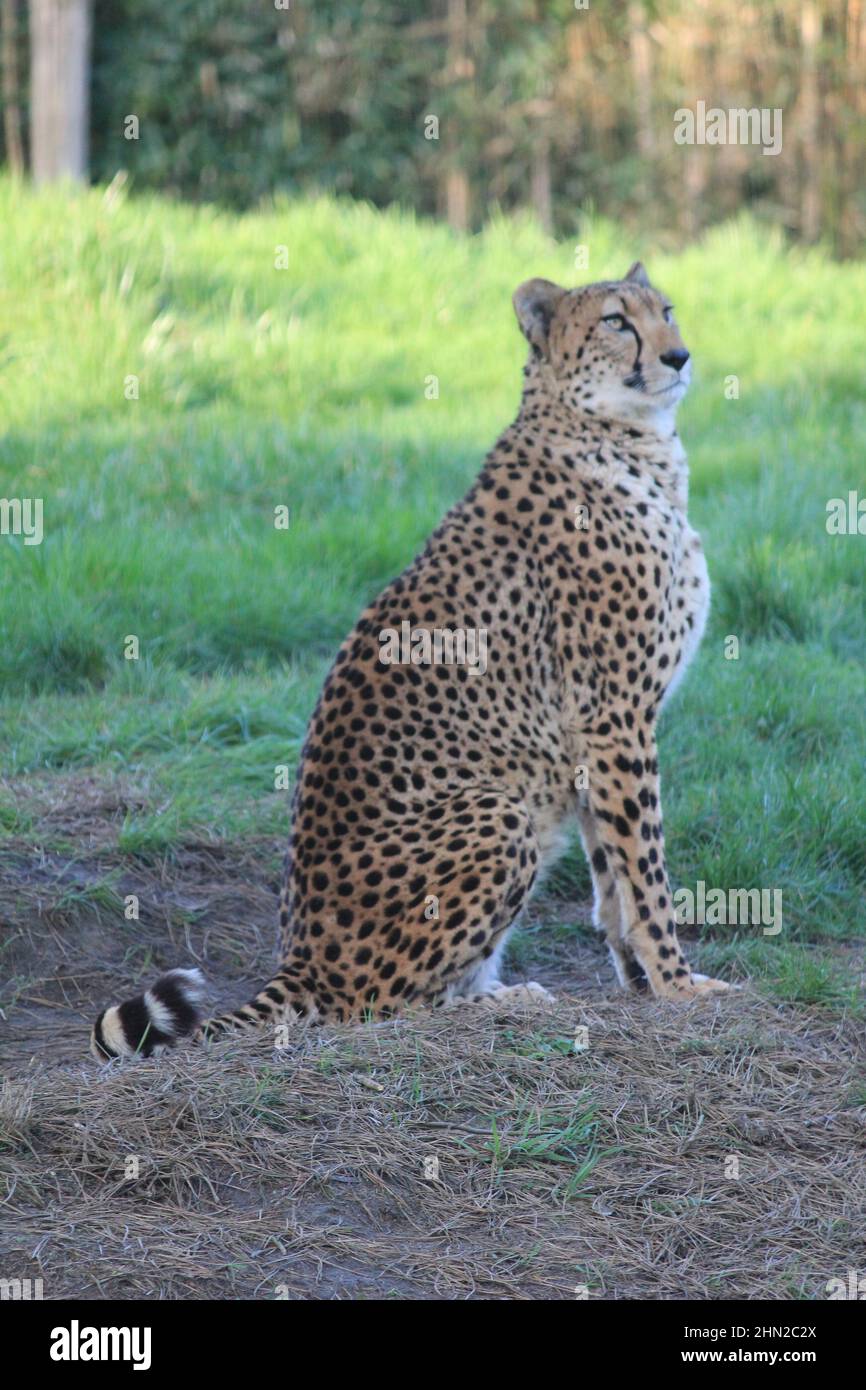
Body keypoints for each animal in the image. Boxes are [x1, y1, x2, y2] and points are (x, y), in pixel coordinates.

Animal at [93, 261, 733, 1056]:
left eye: (666, 311)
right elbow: (645, 871)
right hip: (500, 811)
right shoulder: (613, 716)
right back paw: (500, 1005)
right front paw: (679, 982)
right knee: (379, 1004)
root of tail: (299, 956)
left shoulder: (597, 733)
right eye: (617, 321)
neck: (628, 441)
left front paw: (642, 981)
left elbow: (610, 872)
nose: (678, 356)